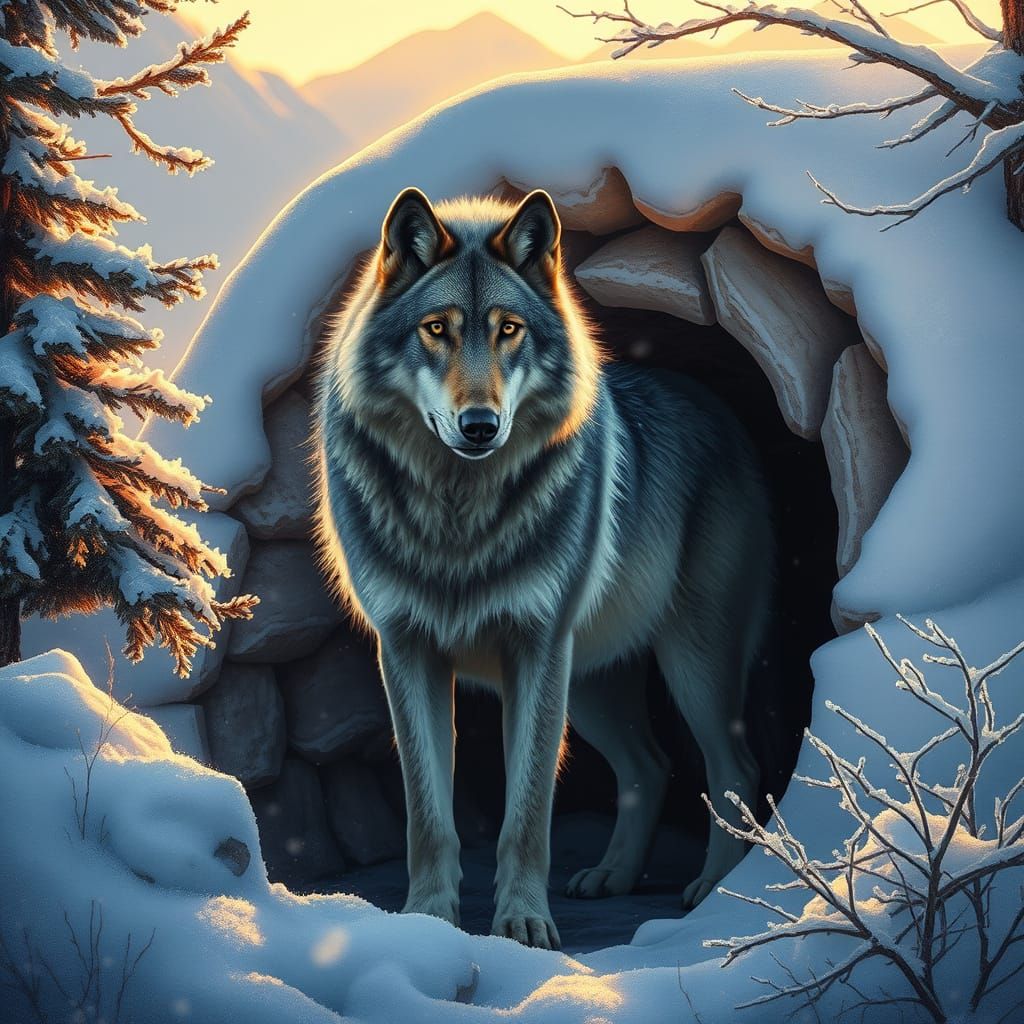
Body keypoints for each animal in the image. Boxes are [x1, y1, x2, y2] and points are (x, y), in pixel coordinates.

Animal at [313, 186, 773, 950]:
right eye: (436, 330)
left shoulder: (535, 649)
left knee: (733, 767)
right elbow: (428, 814)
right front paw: (427, 920)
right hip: (591, 684)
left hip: (687, 665)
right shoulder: (406, 649)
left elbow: (526, 816)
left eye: (509, 331)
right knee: (650, 768)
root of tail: (715, 403)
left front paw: (523, 923)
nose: (479, 426)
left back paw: (711, 893)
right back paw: (612, 877)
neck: (458, 514)